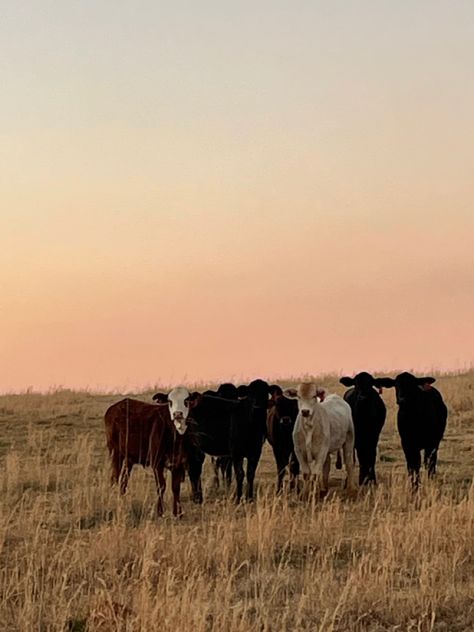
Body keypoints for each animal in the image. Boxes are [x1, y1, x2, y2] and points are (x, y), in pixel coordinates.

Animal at [104, 388, 192, 516]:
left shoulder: (178, 464)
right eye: (169, 402)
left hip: (128, 459)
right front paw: (160, 512)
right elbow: (161, 486)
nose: (178, 414)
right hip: (116, 454)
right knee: (114, 479)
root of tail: (112, 409)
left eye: (186, 401)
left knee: (123, 482)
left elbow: (175, 488)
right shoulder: (156, 462)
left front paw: (178, 513)